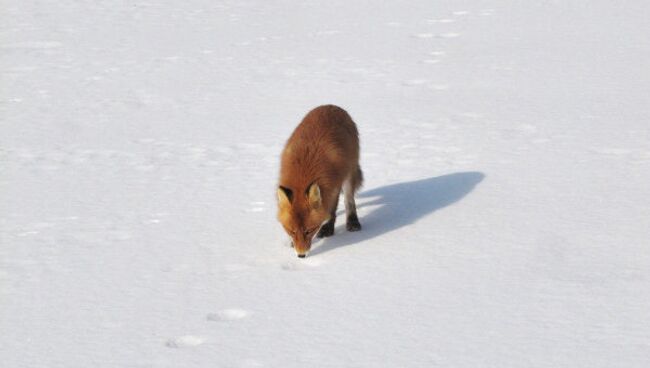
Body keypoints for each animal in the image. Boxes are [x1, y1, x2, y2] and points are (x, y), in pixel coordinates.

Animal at [276, 105, 362, 258]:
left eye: (309, 231)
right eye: (292, 231)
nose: (301, 255)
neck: (304, 170)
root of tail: (331, 106)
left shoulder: (333, 186)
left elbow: (331, 210)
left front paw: (328, 229)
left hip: (349, 173)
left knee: (349, 200)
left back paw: (353, 221)